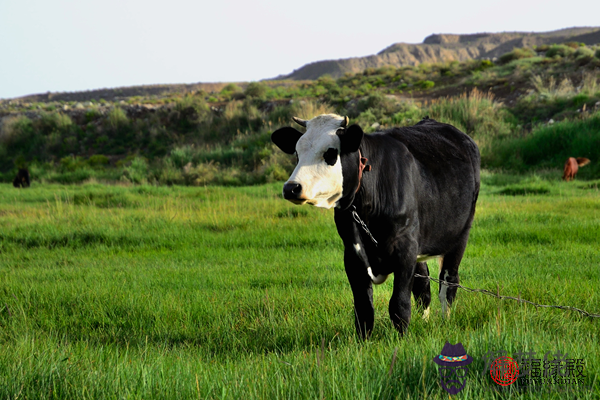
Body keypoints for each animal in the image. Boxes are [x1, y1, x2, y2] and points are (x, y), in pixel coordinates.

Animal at [270, 114, 480, 340]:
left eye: (330, 153)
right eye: (297, 153)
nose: (291, 188)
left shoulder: (405, 248)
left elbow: (399, 304)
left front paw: (401, 340)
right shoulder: (352, 253)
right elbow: (363, 307)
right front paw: (363, 342)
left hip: (459, 236)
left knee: (448, 282)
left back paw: (444, 321)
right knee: (423, 286)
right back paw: (424, 321)